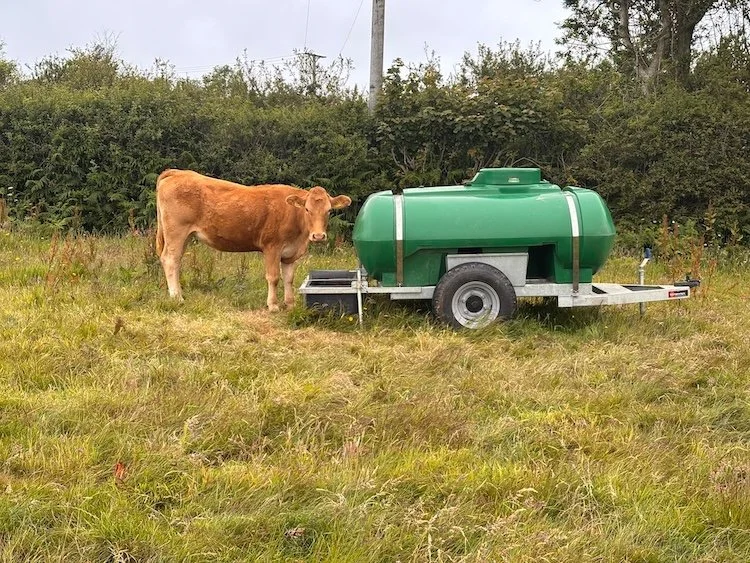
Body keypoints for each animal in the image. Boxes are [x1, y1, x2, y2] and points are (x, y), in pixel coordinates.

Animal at [154, 169, 352, 311]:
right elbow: (273, 277)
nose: (318, 236)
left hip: (185, 235)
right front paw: (273, 305)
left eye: (328, 210)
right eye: (307, 209)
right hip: (176, 232)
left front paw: (290, 304)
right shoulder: (272, 247)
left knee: (175, 261)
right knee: (170, 260)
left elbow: (289, 279)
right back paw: (177, 297)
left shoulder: (290, 254)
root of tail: (177, 172)